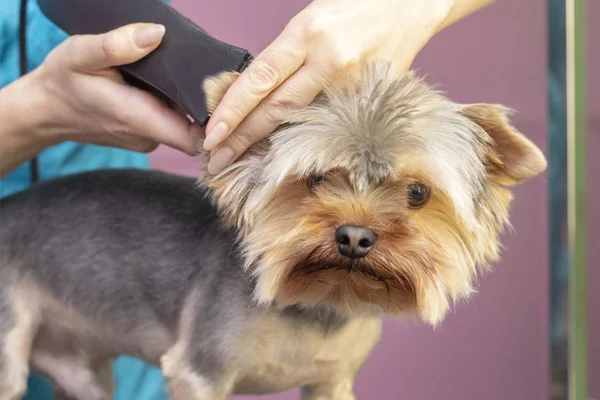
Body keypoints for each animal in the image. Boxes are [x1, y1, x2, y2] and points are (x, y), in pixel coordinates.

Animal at [0, 60, 548, 400]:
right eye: (316, 179)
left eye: (417, 193)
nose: (354, 237)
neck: (319, 302)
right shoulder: (200, 372)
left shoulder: (332, 382)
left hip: (82, 373)